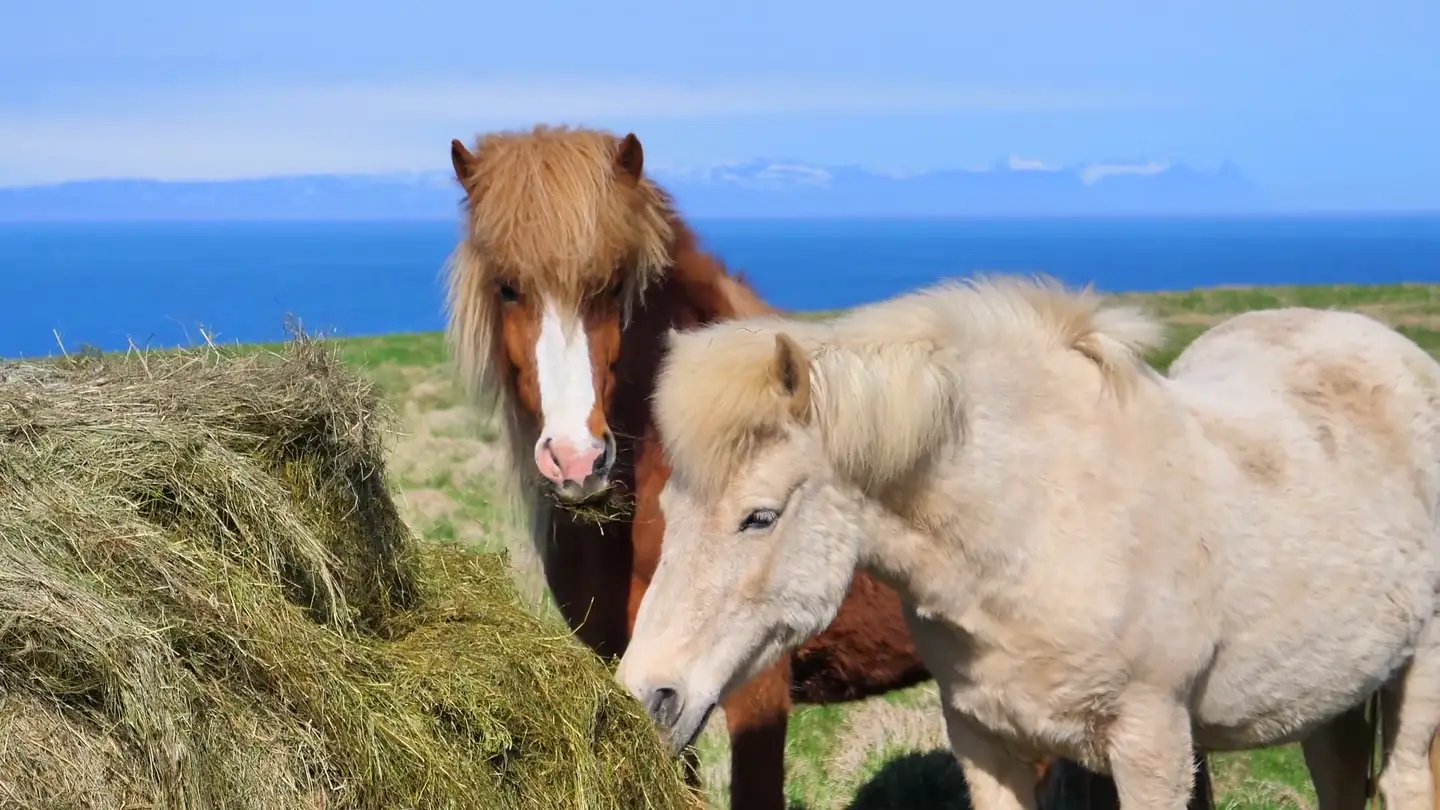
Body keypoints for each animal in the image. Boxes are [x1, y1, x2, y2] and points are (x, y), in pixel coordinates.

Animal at [618, 274, 1440, 810]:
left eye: (759, 517)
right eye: (668, 508)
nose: (648, 696)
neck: (1036, 523)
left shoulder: (1152, 747)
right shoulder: (986, 740)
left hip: (1417, 671)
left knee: (1402, 781)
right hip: (1332, 697)